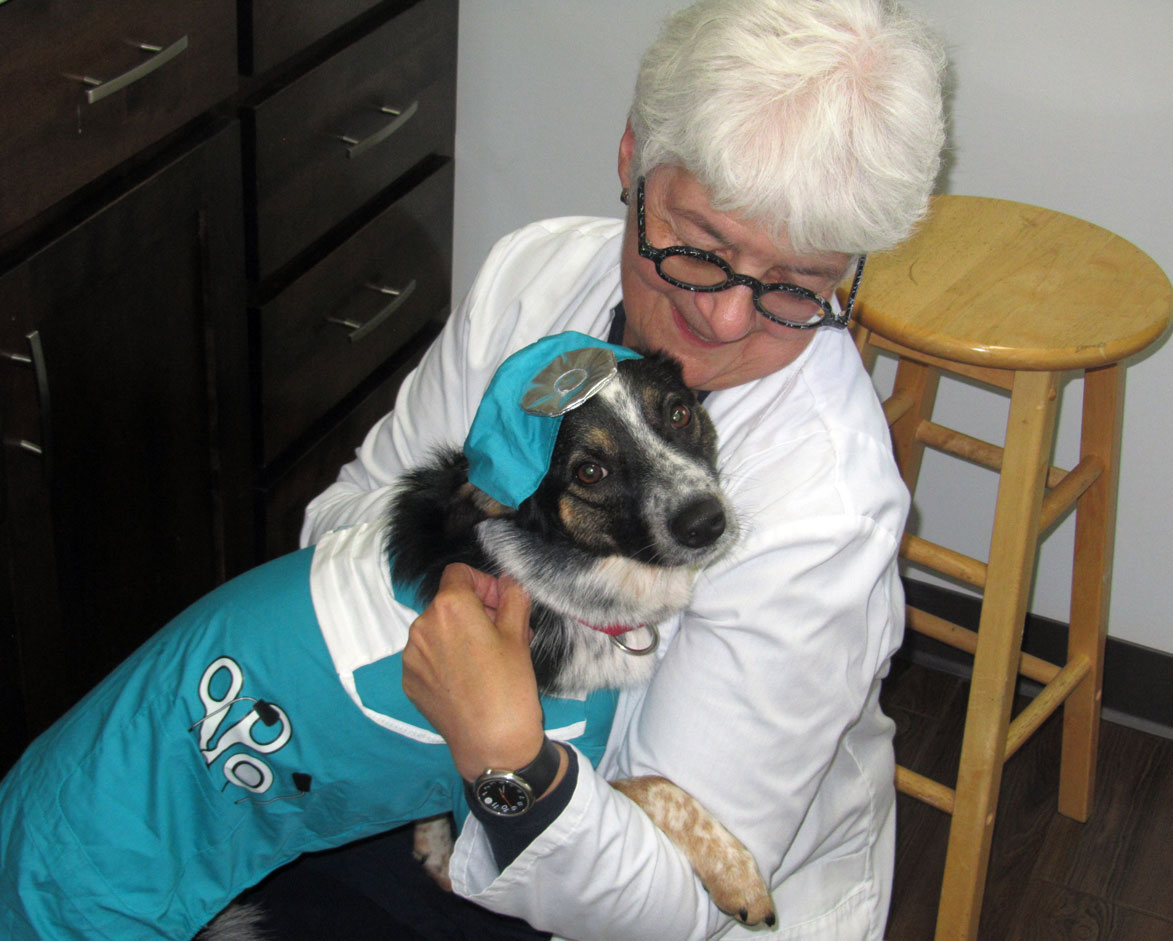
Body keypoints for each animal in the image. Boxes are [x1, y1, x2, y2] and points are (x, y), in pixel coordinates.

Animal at [0, 333, 774, 933]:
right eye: (589, 470)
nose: (706, 522)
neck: (546, 572)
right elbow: (651, 781)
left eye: (678, 413)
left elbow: (662, 782)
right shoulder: (521, 759)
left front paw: (428, 843)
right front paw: (741, 877)